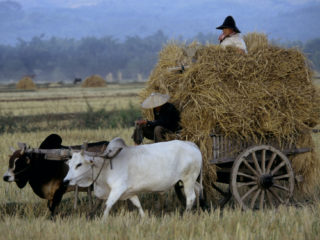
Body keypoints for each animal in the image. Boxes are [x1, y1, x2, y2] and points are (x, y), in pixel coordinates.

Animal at [63, 137, 202, 219]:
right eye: (69, 164)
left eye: (79, 164)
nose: (66, 181)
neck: (106, 165)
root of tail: (191, 144)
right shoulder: (129, 192)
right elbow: (138, 205)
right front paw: (144, 218)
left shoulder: (118, 188)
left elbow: (108, 205)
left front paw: (103, 221)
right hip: (191, 180)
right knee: (199, 189)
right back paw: (199, 209)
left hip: (188, 179)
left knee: (190, 197)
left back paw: (186, 215)